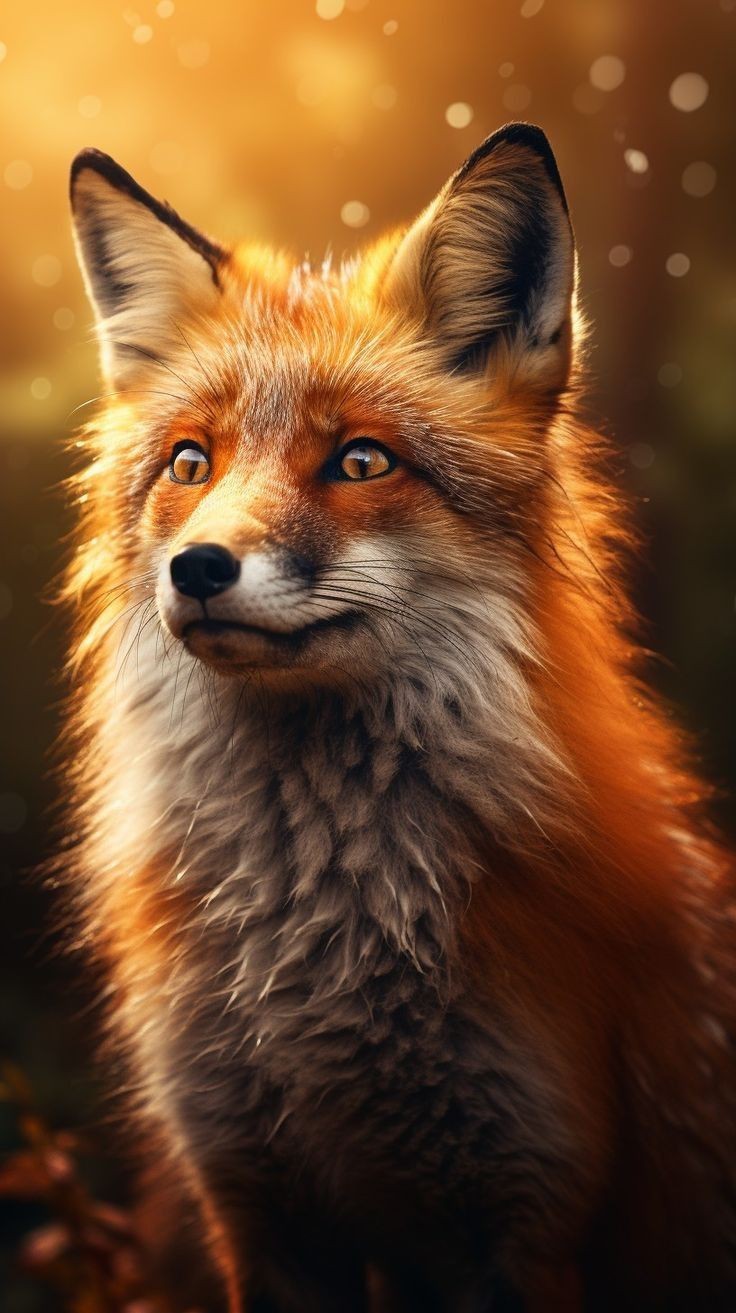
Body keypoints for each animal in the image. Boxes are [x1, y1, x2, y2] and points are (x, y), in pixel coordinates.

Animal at [61, 122, 736, 1312]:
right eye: (191, 461)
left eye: (361, 459)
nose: (197, 569)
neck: (315, 960)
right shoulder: (258, 1206)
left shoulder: (527, 1216)